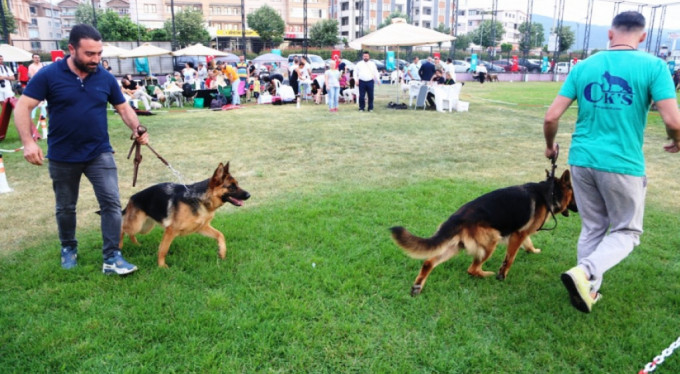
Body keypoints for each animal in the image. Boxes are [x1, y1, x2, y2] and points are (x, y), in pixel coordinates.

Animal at [119, 162, 250, 268]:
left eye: (237, 184)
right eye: (232, 187)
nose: (249, 195)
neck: (199, 199)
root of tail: (132, 198)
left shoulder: (201, 228)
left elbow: (220, 235)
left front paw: (222, 252)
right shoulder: (171, 231)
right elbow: (163, 250)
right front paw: (161, 266)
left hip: (145, 227)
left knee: (130, 233)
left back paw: (136, 244)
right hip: (136, 225)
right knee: (122, 228)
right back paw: (119, 246)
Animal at [390, 169, 576, 296]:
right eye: (575, 195)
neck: (551, 192)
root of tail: (457, 217)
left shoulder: (520, 233)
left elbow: (528, 243)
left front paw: (533, 251)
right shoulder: (518, 235)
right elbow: (509, 259)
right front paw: (502, 275)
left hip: (455, 246)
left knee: (429, 262)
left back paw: (418, 286)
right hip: (491, 242)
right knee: (471, 269)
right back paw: (487, 274)